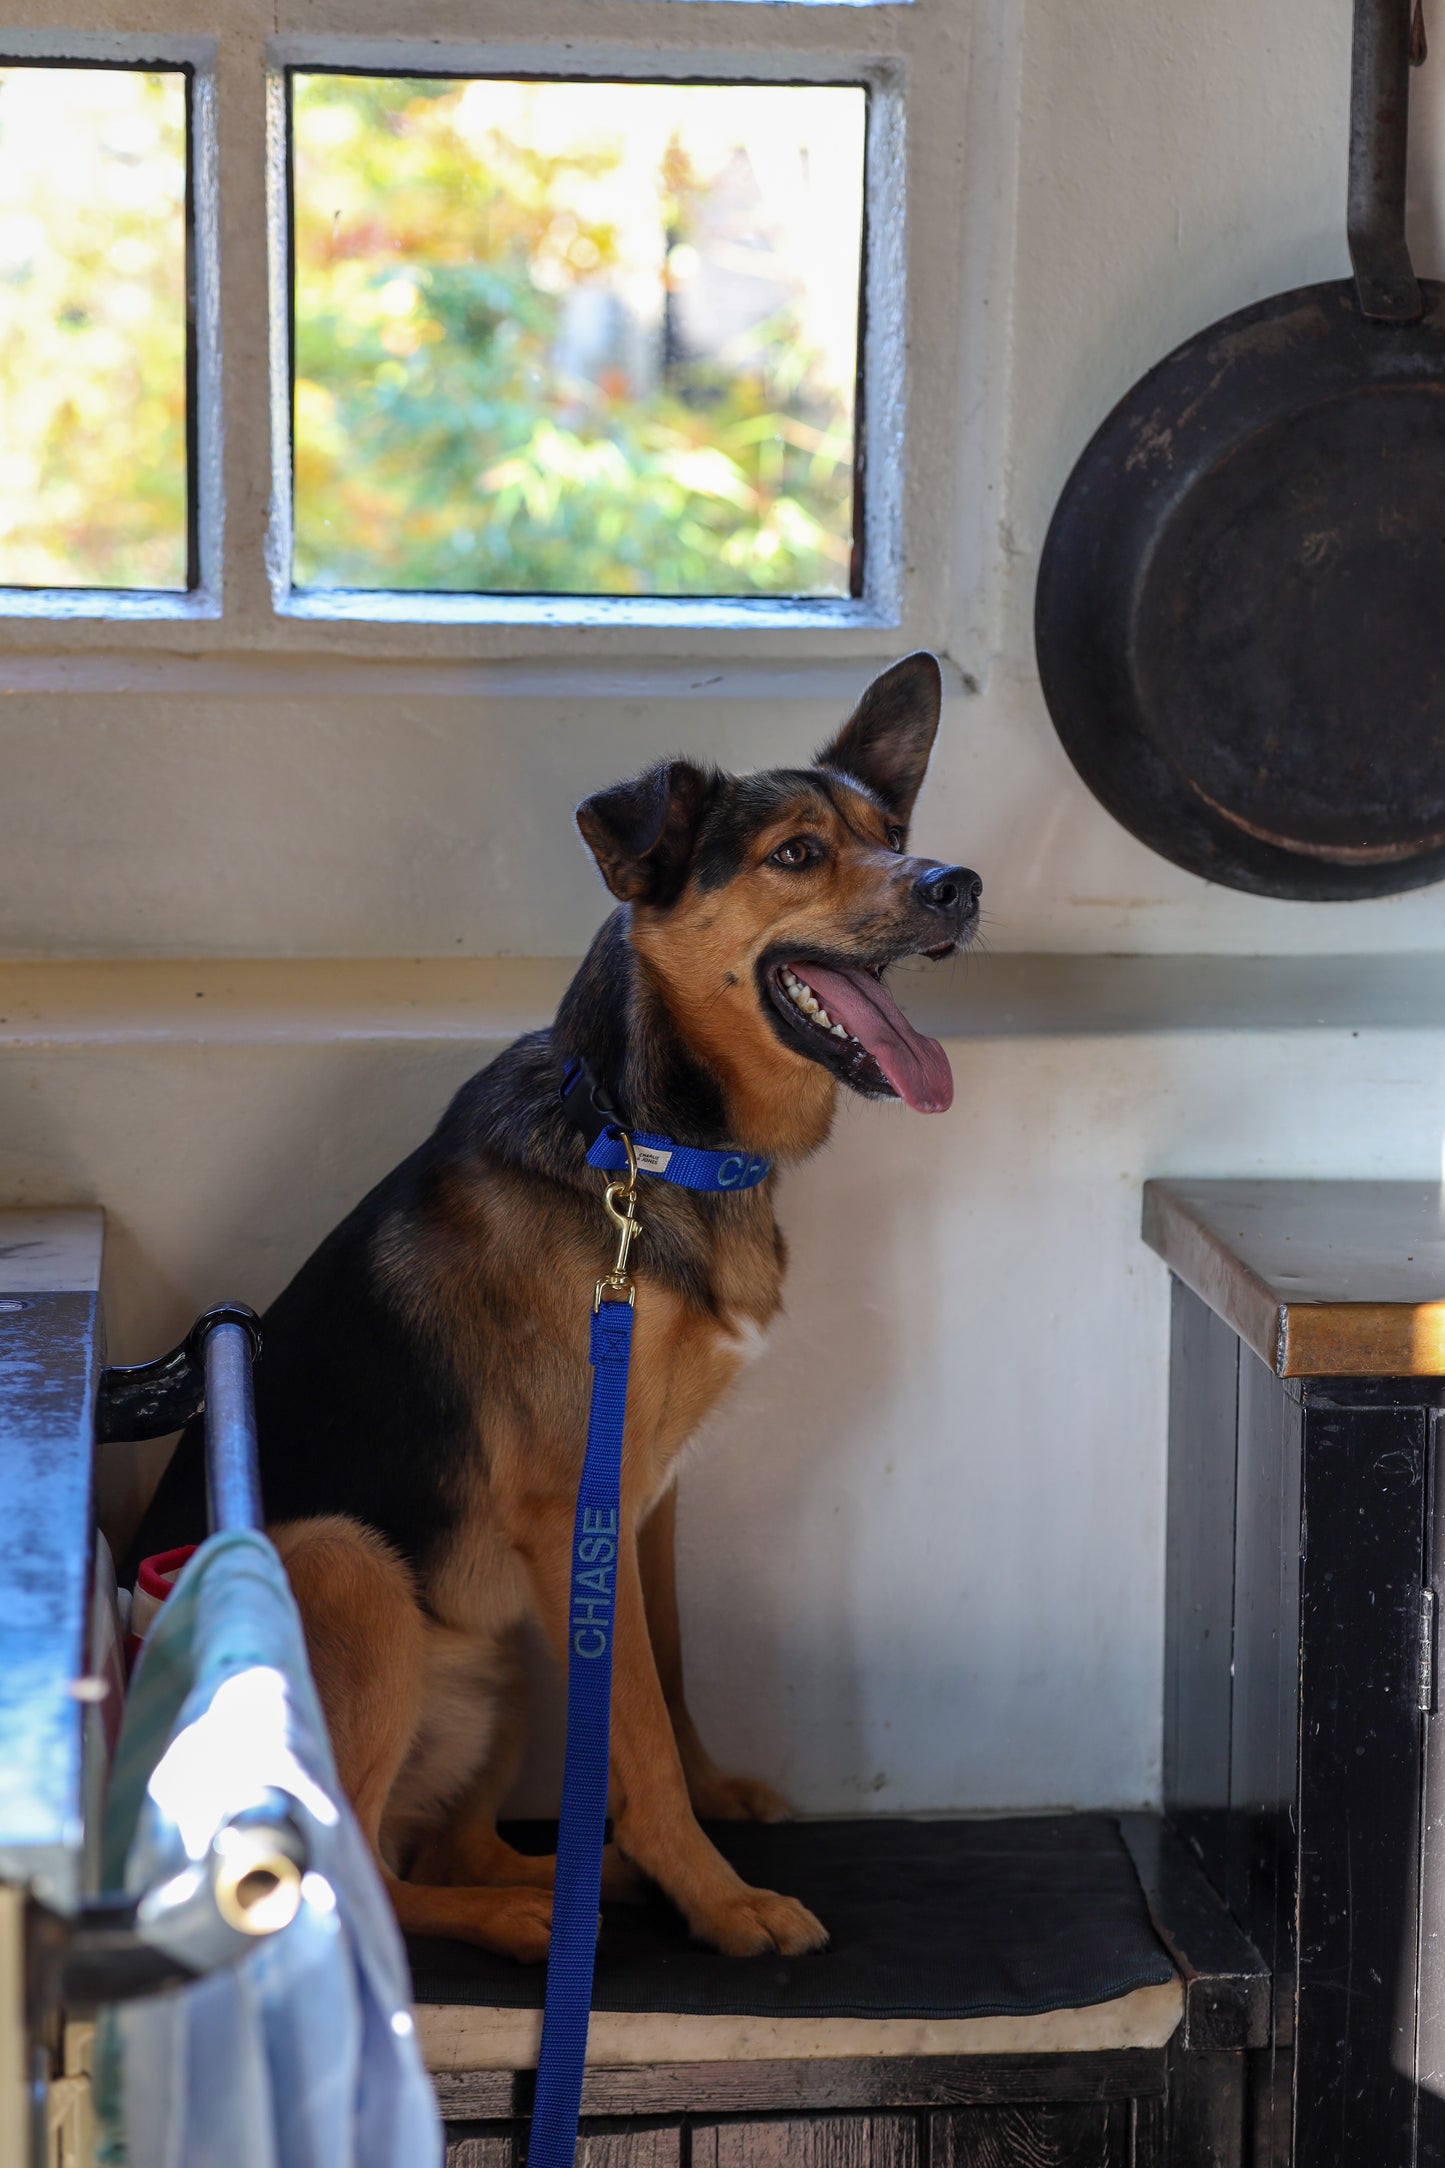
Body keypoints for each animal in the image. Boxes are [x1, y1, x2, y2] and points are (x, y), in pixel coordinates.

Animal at [132, 641, 983, 1968]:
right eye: (796, 851)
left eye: (890, 831)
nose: (956, 882)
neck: (645, 1138)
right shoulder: (572, 1506)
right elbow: (633, 1724)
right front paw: (717, 1894)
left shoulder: (645, 1502)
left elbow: (662, 1681)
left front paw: (692, 1821)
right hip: (344, 1562)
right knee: (349, 1882)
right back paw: (533, 1918)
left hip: (500, 1657)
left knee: (436, 1844)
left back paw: (578, 1879)